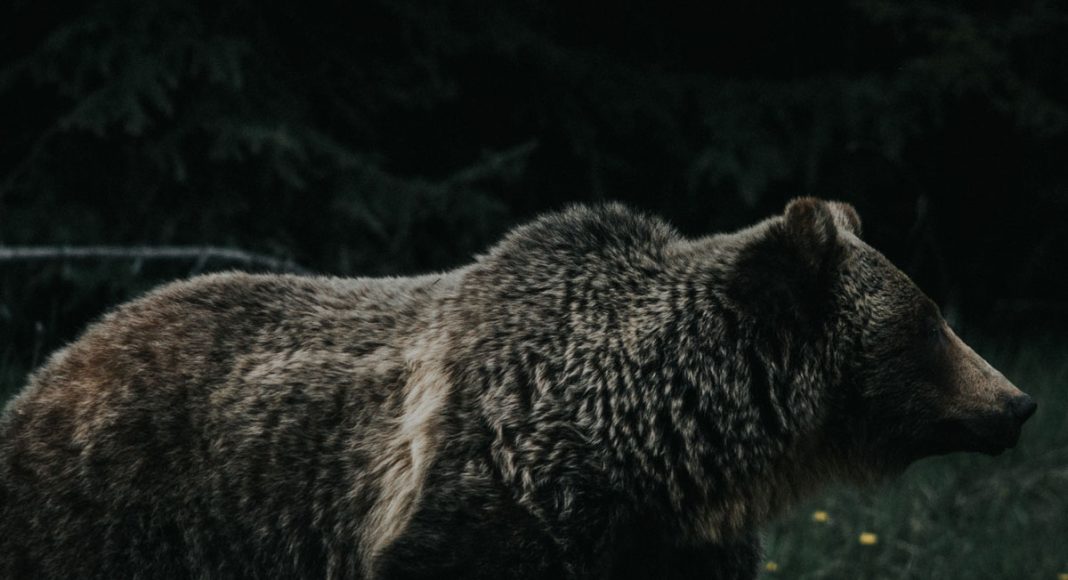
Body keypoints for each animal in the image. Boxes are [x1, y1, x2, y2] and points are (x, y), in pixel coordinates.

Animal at [0, 198, 1035, 579]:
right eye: (929, 319)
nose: (1018, 402)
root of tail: (57, 364)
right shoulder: (473, 510)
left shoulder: (673, 546)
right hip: (127, 515)